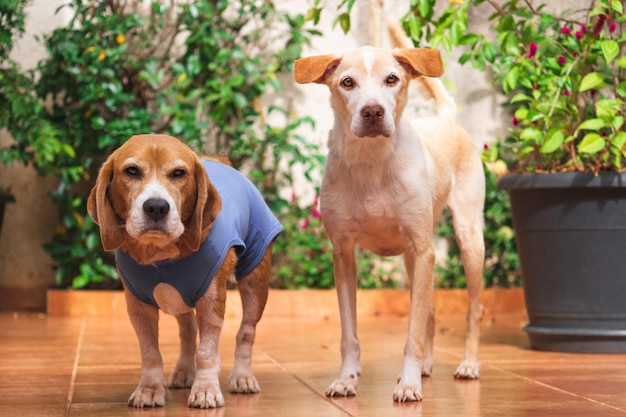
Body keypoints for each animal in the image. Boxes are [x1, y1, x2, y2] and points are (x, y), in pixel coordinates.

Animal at [86, 134, 282, 406]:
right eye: (132, 171)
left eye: (179, 173)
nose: (156, 207)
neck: (161, 252)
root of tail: (219, 161)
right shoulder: (138, 307)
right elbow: (150, 353)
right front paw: (149, 388)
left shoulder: (211, 302)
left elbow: (206, 352)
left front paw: (206, 390)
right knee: (188, 331)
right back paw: (184, 371)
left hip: (256, 281)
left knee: (246, 332)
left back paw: (242, 376)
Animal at [292, 47, 482, 402]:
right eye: (347, 82)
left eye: (392, 79)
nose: (372, 112)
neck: (371, 160)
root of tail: (445, 120)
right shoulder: (343, 253)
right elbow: (349, 332)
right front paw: (347, 379)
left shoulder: (423, 251)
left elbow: (412, 332)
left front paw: (408, 383)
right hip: (412, 259)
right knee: (429, 312)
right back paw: (426, 365)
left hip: (468, 240)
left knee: (472, 309)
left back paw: (468, 364)